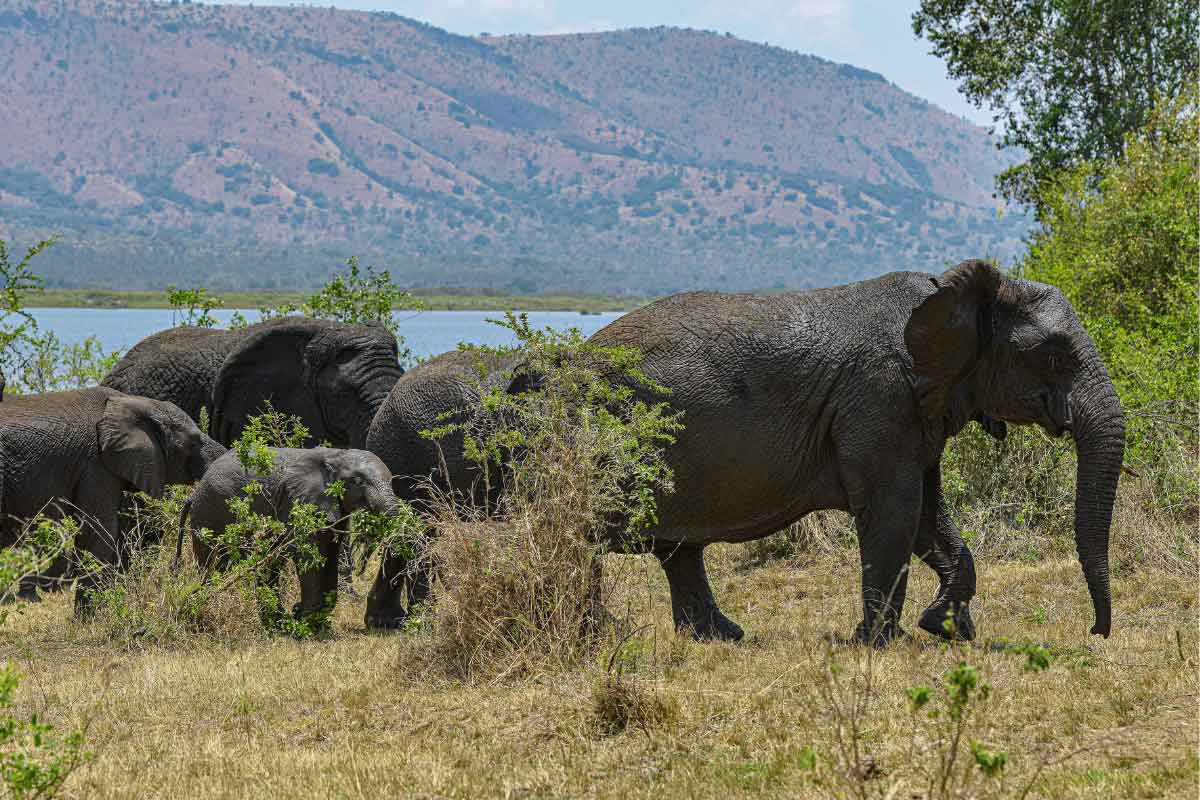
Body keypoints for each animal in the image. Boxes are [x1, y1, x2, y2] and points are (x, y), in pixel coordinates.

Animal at [0, 388, 225, 614]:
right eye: (193, 442)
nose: (173, 569)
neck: (133, 402)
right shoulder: (95, 465)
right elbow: (97, 533)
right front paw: (88, 618)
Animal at [177, 448, 400, 628]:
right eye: (357, 482)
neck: (336, 454)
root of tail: (193, 493)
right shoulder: (299, 502)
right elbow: (308, 555)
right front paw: (305, 620)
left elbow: (330, 553)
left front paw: (310, 618)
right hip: (212, 514)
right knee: (219, 564)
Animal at [364, 262, 1123, 642]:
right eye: (1053, 354)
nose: (1096, 633)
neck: (952, 292)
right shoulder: (879, 397)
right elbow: (892, 511)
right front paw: (881, 643)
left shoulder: (913, 410)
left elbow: (928, 514)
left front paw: (948, 625)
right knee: (582, 533)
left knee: (679, 549)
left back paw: (720, 636)